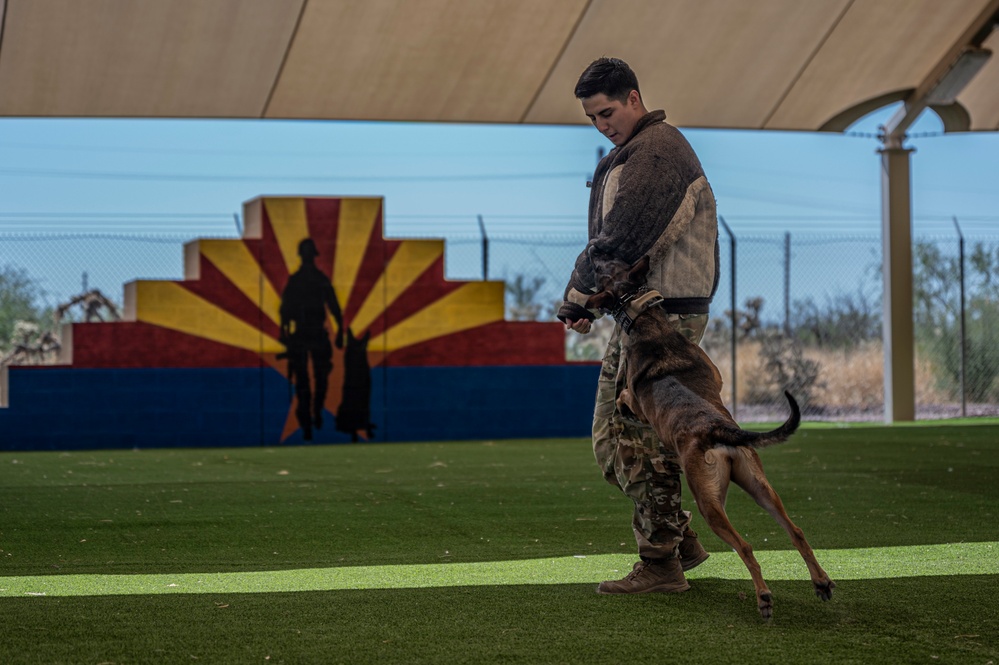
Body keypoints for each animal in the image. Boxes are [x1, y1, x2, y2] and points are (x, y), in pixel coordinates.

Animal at [584, 250, 836, 616]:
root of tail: (717, 429)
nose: (592, 252)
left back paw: (763, 596)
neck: (648, 323)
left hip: (709, 503)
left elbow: (623, 396)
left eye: (604, 268)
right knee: (796, 531)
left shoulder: (633, 397)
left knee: (745, 546)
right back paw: (821, 582)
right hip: (759, 486)